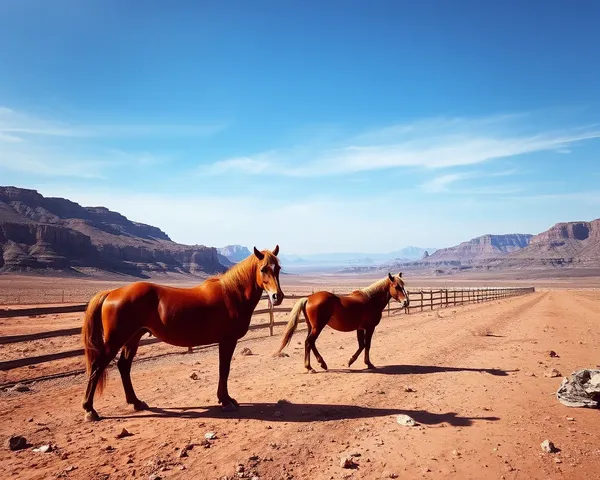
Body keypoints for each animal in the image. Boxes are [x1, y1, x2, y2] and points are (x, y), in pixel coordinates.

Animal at [81, 246, 284, 422]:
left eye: (278, 268)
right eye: (263, 269)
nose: (277, 297)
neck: (232, 294)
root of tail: (111, 293)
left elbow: (223, 370)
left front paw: (226, 399)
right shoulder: (227, 340)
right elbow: (224, 369)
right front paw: (226, 401)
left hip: (133, 338)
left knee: (124, 366)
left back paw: (136, 402)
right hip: (115, 340)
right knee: (97, 367)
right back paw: (90, 410)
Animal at [276, 274, 408, 372]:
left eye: (403, 285)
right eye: (396, 286)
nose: (406, 302)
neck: (371, 300)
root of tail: (308, 298)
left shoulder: (360, 328)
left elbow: (361, 345)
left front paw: (351, 361)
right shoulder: (370, 328)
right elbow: (367, 345)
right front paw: (368, 364)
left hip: (311, 327)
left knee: (309, 343)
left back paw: (319, 364)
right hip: (317, 327)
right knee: (309, 342)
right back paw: (312, 367)